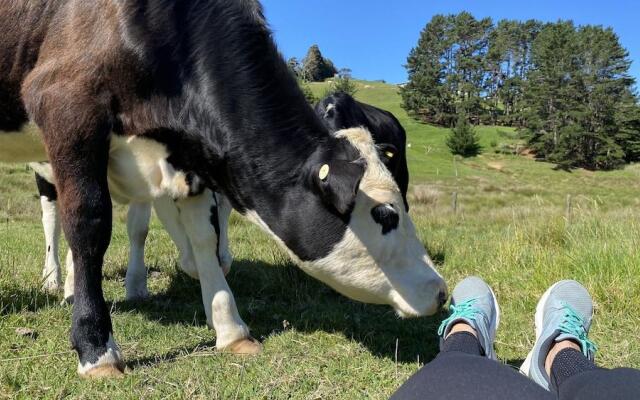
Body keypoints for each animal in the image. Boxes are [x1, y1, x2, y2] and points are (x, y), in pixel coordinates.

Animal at [30, 164, 235, 302]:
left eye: (227, 205)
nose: (222, 263)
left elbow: (139, 229)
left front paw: (136, 286)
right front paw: (72, 285)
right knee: (51, 220)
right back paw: (52, 277)